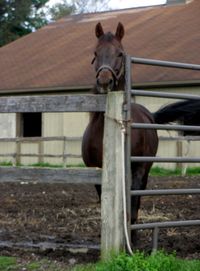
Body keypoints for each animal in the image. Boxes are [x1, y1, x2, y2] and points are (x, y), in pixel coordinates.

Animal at [81, 22, 158, 244]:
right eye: (95, 52)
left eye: (120, 53)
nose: (104, 81)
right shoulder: (96, 171)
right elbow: (105, 204)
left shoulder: (136, 171)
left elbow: (132, 206)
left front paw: (131, 240)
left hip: (144, 171)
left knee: (136, 202)